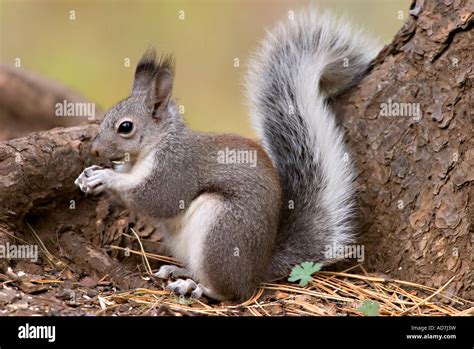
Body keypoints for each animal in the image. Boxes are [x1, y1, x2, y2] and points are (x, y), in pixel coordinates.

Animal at [75, 9, 378, 300]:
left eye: (125, 127)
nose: (95, 149)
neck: (154, 147)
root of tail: (257, 270)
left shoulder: (177, 169)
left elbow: (156, 198)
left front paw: (105, 178)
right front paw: (89, 174)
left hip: (221, 232)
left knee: (229, 291)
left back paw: (194, 287)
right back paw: (179, 270)